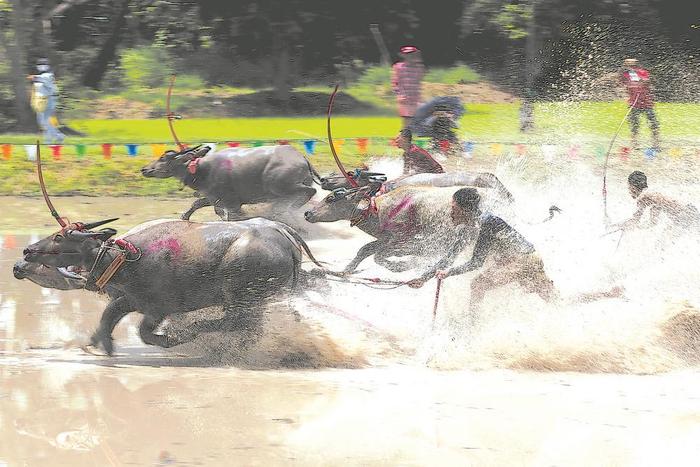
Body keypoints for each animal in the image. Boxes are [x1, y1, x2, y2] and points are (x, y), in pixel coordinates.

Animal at [21, 218, 322, 354]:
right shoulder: (139, 303)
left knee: (240, 323)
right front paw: (99, 342)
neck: (123, 258)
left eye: (59, 237)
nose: (25, 253)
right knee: (251, 328)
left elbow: (137, 330)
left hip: (242, 297)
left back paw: (195, 333)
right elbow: (115, 319)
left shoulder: (152, 307)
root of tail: (284, 237)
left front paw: (172, 339)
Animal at [142, 144, 322, 221]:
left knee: (309, 192)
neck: (202, 170)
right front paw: (184, 216)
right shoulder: (213, 197)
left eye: (163, 158)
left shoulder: (231, 202)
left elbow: (226, 214)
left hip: (280, 186)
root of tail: (301, 158)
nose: (144, 169)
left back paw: (285, 209)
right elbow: (197, 203)